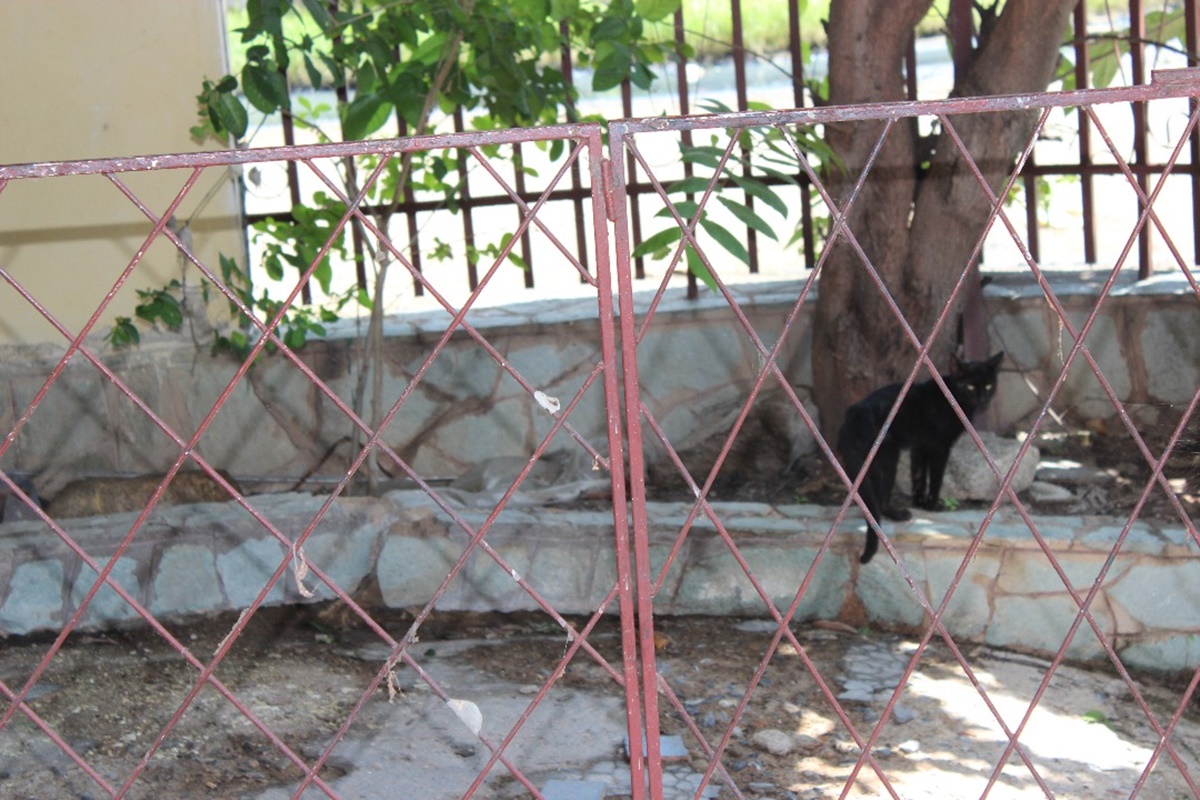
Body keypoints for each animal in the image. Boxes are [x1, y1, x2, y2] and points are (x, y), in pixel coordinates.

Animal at [835, 352, 1003, 566]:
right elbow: (936, 479)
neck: (952, 397)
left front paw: (920, 502)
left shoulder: (920, 447)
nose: (983, 399)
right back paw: (898, 515)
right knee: (881, 500)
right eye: (971, 387)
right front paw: (933, 505)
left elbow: (919, 477)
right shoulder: (940, 447)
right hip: (889, 457)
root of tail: (855, 412)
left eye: (988, 385)